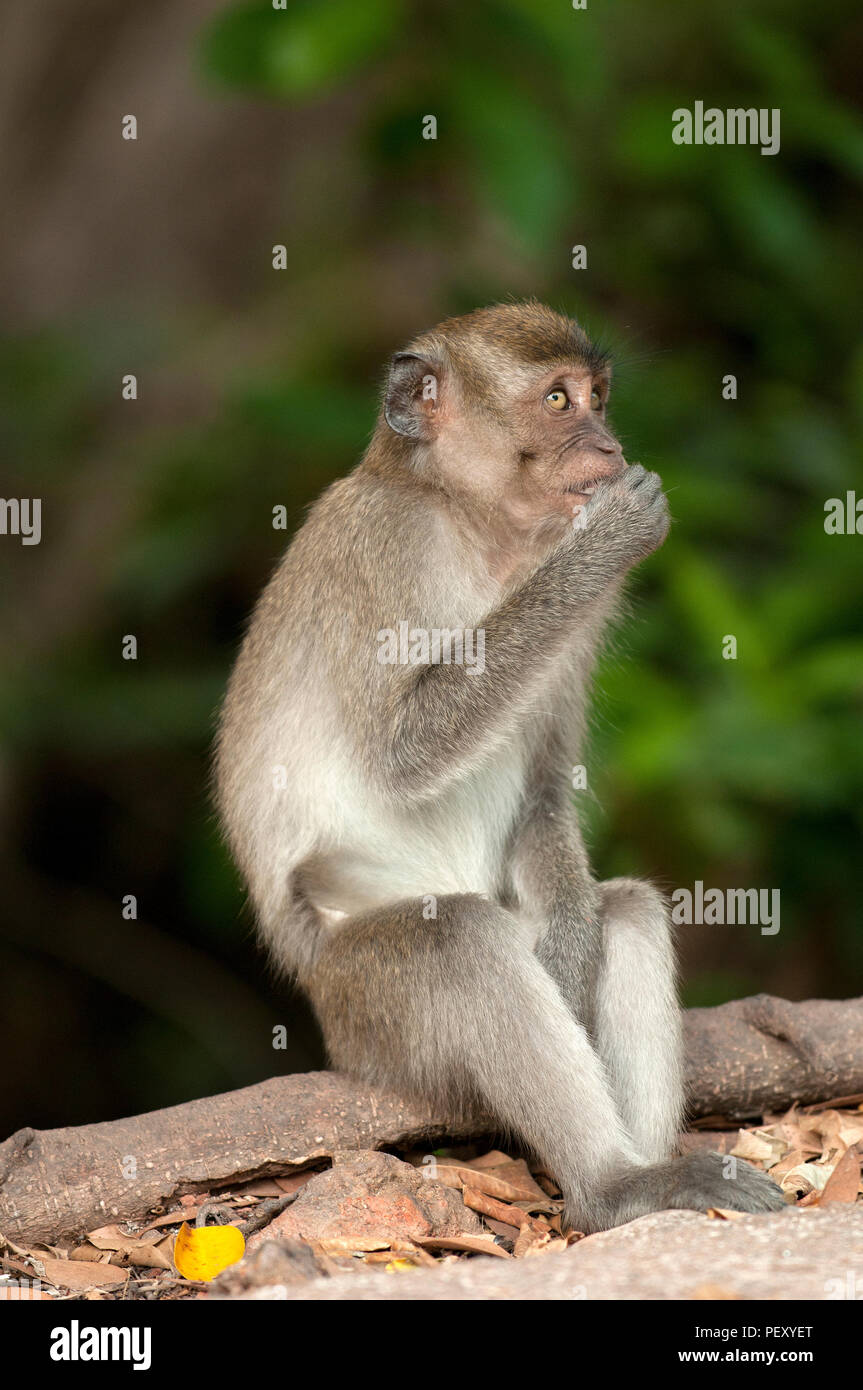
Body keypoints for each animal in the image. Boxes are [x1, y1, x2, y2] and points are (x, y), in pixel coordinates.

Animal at [215, 301, 784, 1232]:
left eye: (598, 396)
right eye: (558, 400)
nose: (607, 444)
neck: (477, 530)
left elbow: (546, 794)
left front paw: (576, 946)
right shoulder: (386, 546)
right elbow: (404, 752)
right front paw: (612, 535)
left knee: (622, 912)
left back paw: (644, 1167)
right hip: (365, 1013)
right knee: (460, 942)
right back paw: (611, 1190)